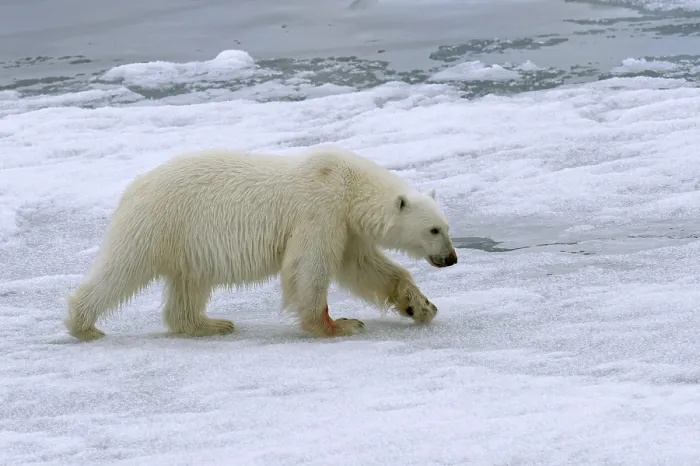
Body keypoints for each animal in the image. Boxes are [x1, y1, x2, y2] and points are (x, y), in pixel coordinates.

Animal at [64, 146, 458, 341]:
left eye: (446, 226)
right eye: (434, 230)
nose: (452, 258)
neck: (348, 184)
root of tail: (133, 188)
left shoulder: (345, 227)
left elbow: (365, 268)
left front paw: (421, 306)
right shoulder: (320, 209)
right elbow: (309, 268)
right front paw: (339, 325)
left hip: (187, 243)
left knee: (189, 284)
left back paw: (211, 324)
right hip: (159, 223)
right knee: (122, 269)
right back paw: (82, 325)